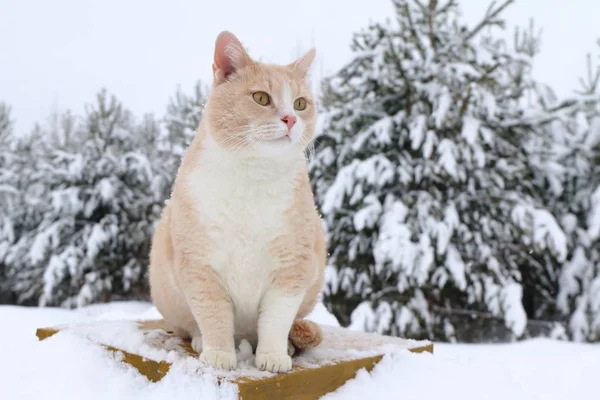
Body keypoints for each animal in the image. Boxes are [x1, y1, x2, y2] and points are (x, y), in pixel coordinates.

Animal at [150, 30, 328, 372]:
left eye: (300, 103)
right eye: (261, 98)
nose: (291, 119)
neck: (252, 177)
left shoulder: (292, 267)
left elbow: (276, 319)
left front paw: (273, 356)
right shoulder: (199, 265)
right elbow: (213, 314)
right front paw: (219, 354)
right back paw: (201, 341)